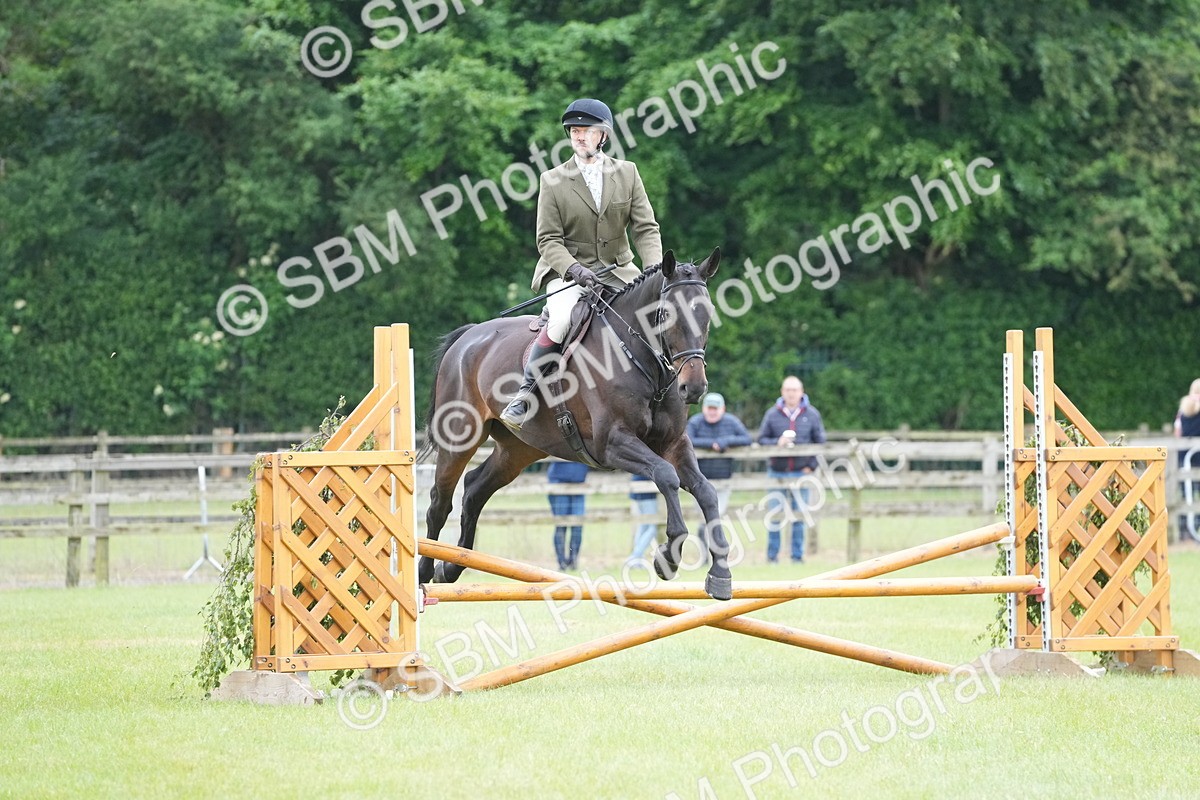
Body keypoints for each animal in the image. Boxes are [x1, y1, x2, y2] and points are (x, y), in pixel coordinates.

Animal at [416, 248, 734, 600]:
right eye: (664, 314)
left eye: (707, 313)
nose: (694, 388)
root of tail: (468, 337)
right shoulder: (612, 443)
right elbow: (666, 476)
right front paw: (668, 557)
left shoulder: (674, 444)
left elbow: (706, 491)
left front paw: (720, 575)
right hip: (460, 437)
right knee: (439, 502)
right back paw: (425, 572)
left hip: (519, 449)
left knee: (474, 489)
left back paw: (452, 567)